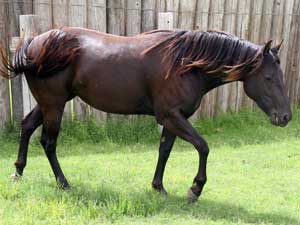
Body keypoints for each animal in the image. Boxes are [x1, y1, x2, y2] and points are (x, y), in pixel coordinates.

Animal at [0, 27, 290, 202]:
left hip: (51, 103)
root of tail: (33, 46)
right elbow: (203, 146)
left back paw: (18, 171)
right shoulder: (171, 116)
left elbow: (165, 151)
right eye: (268, 77)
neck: (185, 64)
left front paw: (158, 187)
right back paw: (63, 183)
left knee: (26, 126)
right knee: (48, 142)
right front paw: (195, 189)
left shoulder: (174, 119)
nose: (286, 117)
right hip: (54, 105)